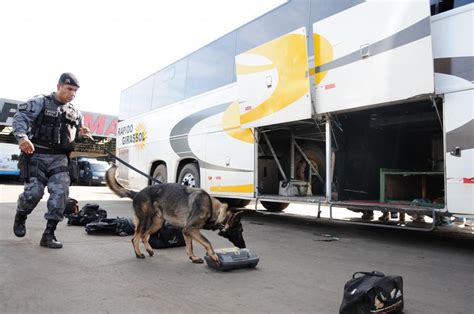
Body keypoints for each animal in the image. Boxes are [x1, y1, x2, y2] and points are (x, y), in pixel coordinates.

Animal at [103, 166, 244, 264]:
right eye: (240, 230)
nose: (244, 246)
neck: (213, 209)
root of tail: (136, 193)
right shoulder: (190, 229)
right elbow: (207, 242)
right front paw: (213, 256)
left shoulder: (187, 232)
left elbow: (190, 246)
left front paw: (193, 258)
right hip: (146, 222)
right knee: (135, 238)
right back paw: (139, 254)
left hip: (156, 223)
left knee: (144, 236)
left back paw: (149, 250)